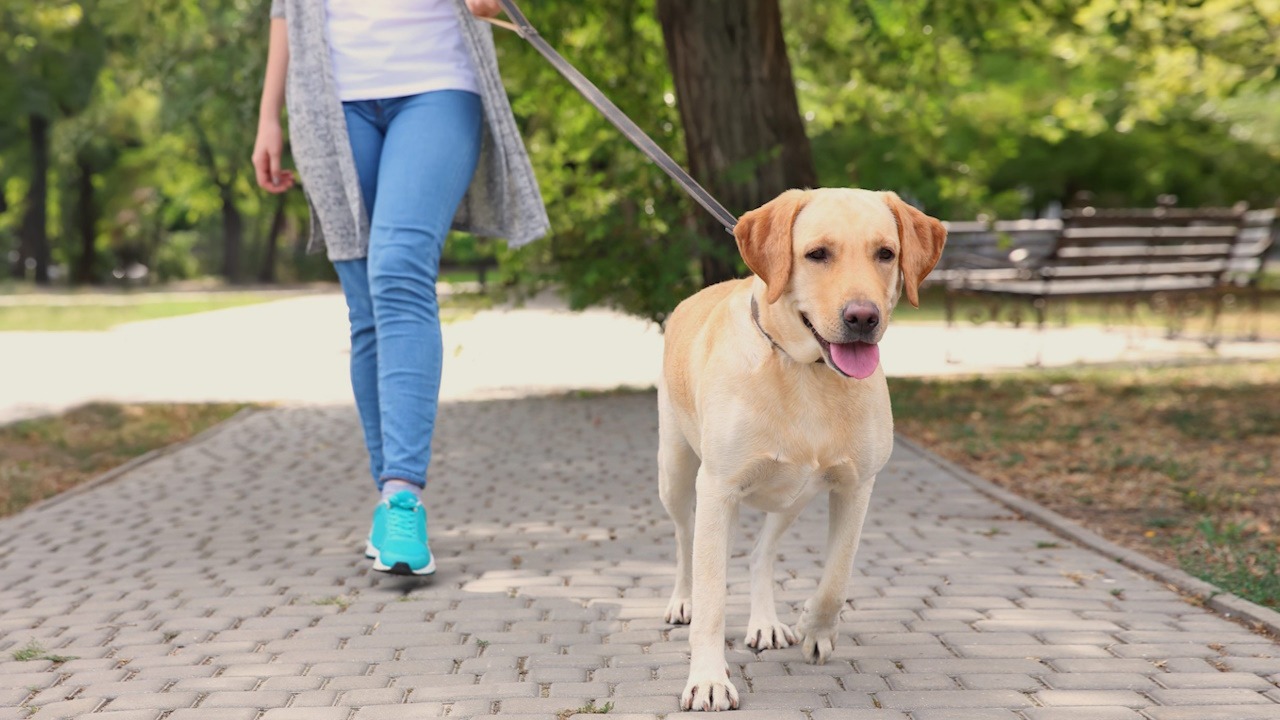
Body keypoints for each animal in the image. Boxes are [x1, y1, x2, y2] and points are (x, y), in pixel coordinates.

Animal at [660, 188, 942, 707]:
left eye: (885, 253)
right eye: (817, 254)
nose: (863, 317)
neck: (806, 371)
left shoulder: (856, 486)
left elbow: (837, 575)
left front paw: (815, 626)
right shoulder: (718, 488)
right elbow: (712, 597)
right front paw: (708, 678)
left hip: (795, 495)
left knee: (760, 553)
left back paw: (766, 622)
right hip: (676, 473)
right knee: (685, 540)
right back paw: (682, 600)